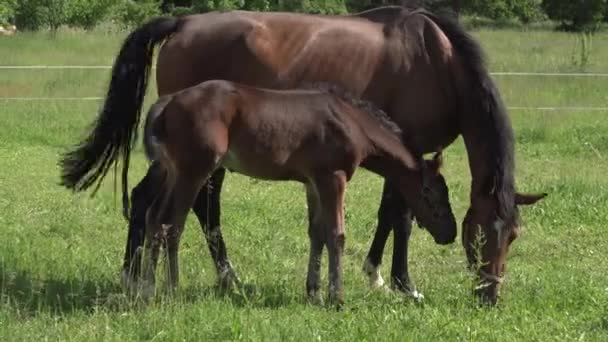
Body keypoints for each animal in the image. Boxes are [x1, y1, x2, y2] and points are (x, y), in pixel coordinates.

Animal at [138, 81, 458, 304]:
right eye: (430, 193)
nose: (449, 233)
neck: (352, 122)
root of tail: (168, 103)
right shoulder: (333, 177)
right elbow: (336, 235)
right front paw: (336, 297)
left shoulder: (312, 182)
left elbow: (316, 233)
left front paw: (313, 292)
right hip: (194, 172)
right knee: (173, 225)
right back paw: (172, 290)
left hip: (172, 172)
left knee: (153, 219)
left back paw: (147, 289)